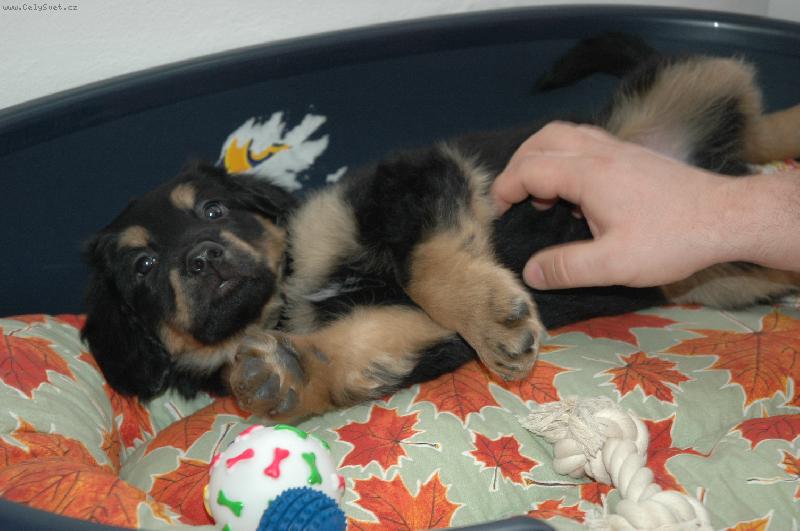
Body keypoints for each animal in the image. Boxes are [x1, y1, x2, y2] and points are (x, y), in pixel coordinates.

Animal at [82, 35, 800, 421]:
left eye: (212, 210)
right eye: (142, 267)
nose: (201, 257)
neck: (282, 298)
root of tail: (710, 161)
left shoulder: (413, 176)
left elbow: (427, 263)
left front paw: (496, 320)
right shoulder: (413, 333)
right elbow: (360, 343)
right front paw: (283, 377)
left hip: (664, 101)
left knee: (752, 105)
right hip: (726, 272)